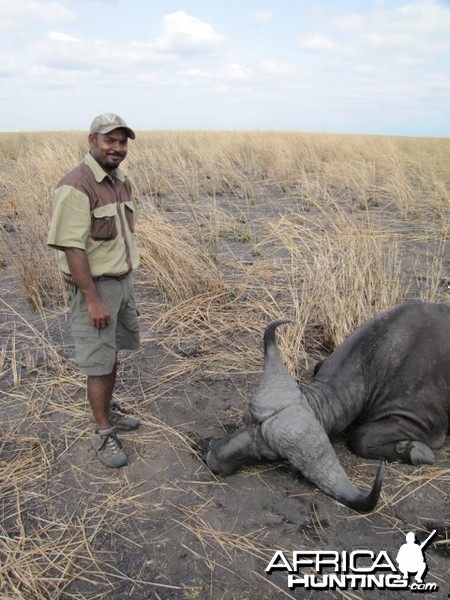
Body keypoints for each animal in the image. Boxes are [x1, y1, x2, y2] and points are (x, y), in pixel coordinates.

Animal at [200, 302, 450, 512]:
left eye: (269, 455)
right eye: (245, 421)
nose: (212, 458)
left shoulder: (423, 424)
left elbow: (360, 437)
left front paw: (414, 450)